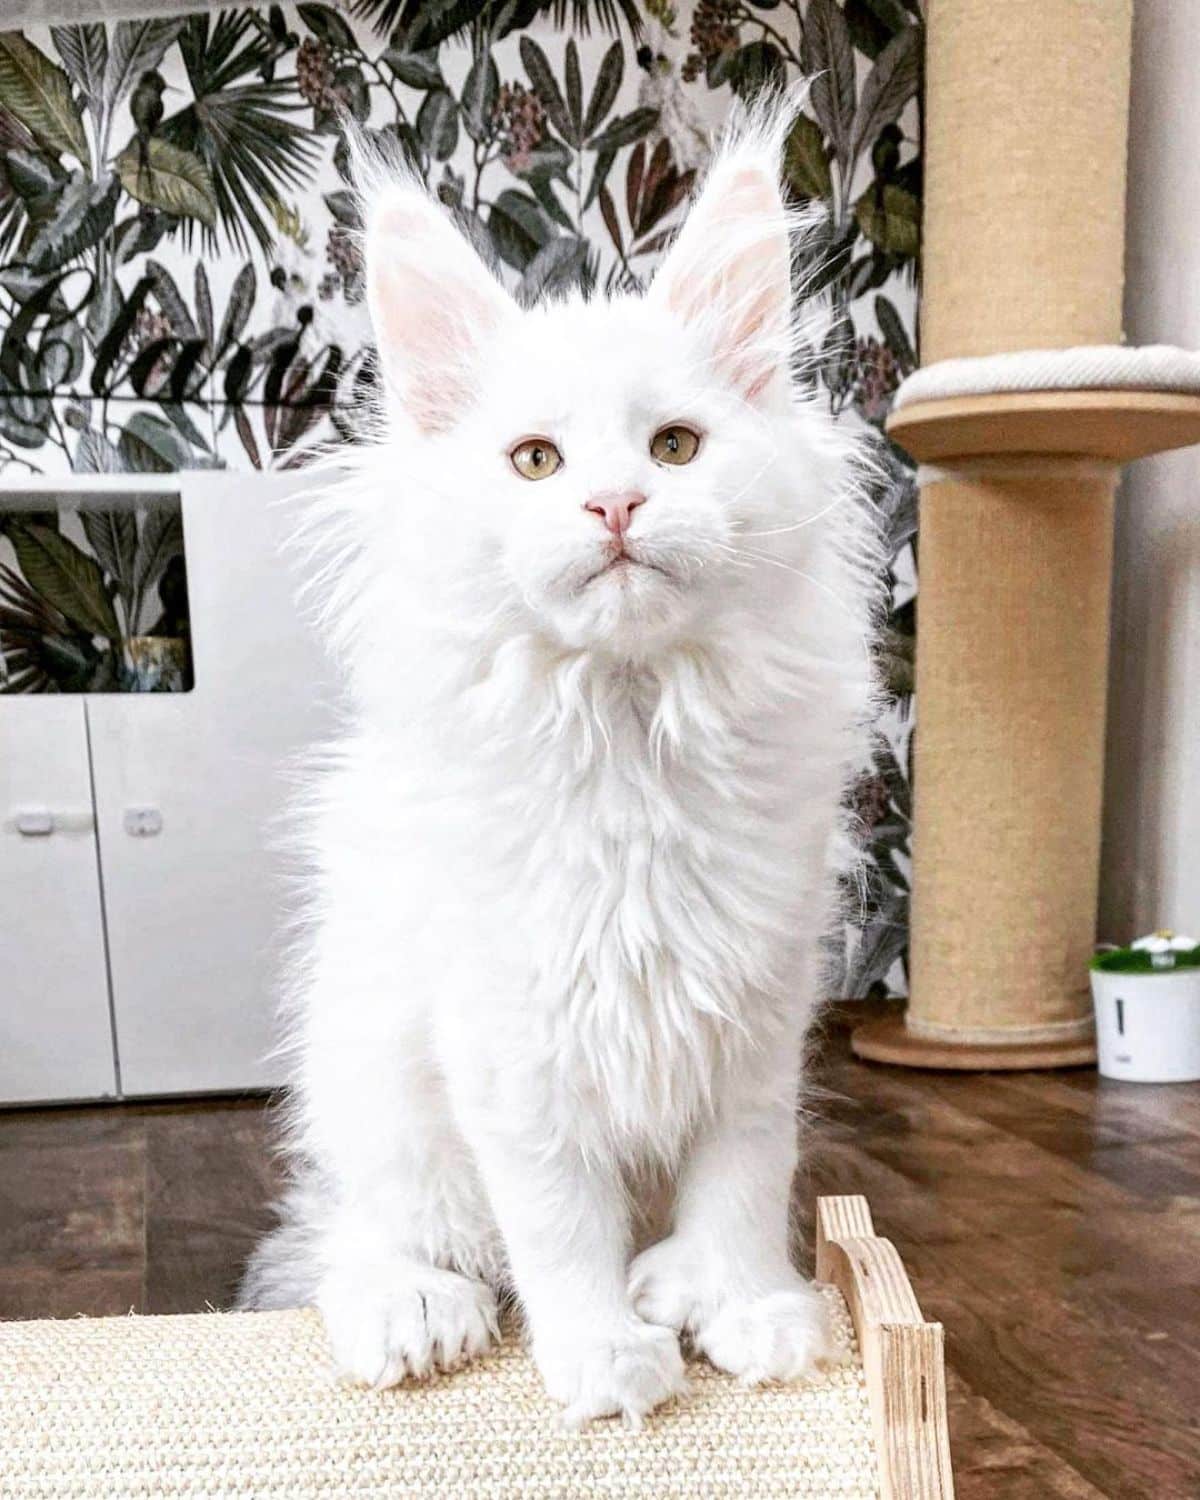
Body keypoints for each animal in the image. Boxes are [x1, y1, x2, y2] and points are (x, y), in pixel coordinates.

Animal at [243, 99, 876, 1434]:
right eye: (536, 462)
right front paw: (598, 1358)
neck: (630, 731)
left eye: (676, 448)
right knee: (356, 1240)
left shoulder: (754, 1021)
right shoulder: (513, 1049)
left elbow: (745, 1179)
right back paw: (414, 1312)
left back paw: (672, 1278)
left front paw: (751, 1310)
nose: (617, 504)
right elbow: (558, 1226)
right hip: (375, 1086)